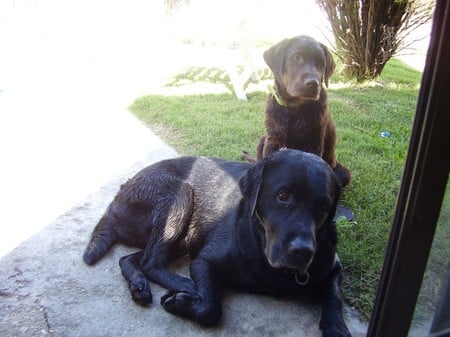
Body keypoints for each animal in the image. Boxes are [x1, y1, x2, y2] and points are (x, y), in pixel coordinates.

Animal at [83, 150, 352, 336]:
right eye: (282, 196)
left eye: (323, 208)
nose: (303, 251)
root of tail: (117, 197)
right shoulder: (205, 260)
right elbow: (209, 308)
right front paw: (182, 301)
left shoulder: (334, 267)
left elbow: (335, 296)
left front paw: (337, 327)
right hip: (180, 196)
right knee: (150, 262)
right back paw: (184, 285)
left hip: (182, 238)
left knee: (129, 258)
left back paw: (139, 285)